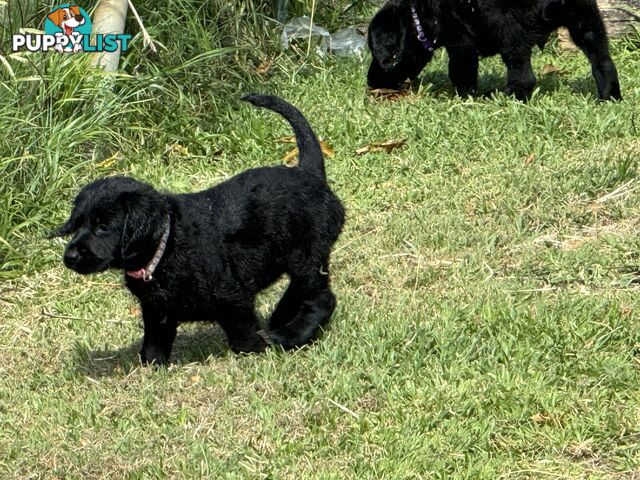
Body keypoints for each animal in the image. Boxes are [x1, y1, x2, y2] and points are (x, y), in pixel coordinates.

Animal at [50, 93, 344, 364]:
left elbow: (243, 335)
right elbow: (154, 344)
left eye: (103, 227)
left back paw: (291, 335)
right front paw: (151, 368)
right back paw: (281, 318)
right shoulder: (157, 310)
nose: (70, 257)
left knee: (321, 298)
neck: (165, 246)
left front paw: (255, 353)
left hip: (305, 256)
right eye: (78, 224)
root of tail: (308, 173)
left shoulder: (233, 298)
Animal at [368, 0, 624, 100]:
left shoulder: (460, 43)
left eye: (380, 58)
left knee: (524, 77)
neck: (418, 15)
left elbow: (461, 74)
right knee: (603, 62)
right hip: (586, 21)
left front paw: (463, 97)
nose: (370, 82)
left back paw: (504, 95)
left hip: (508, 28)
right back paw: (609, 96)